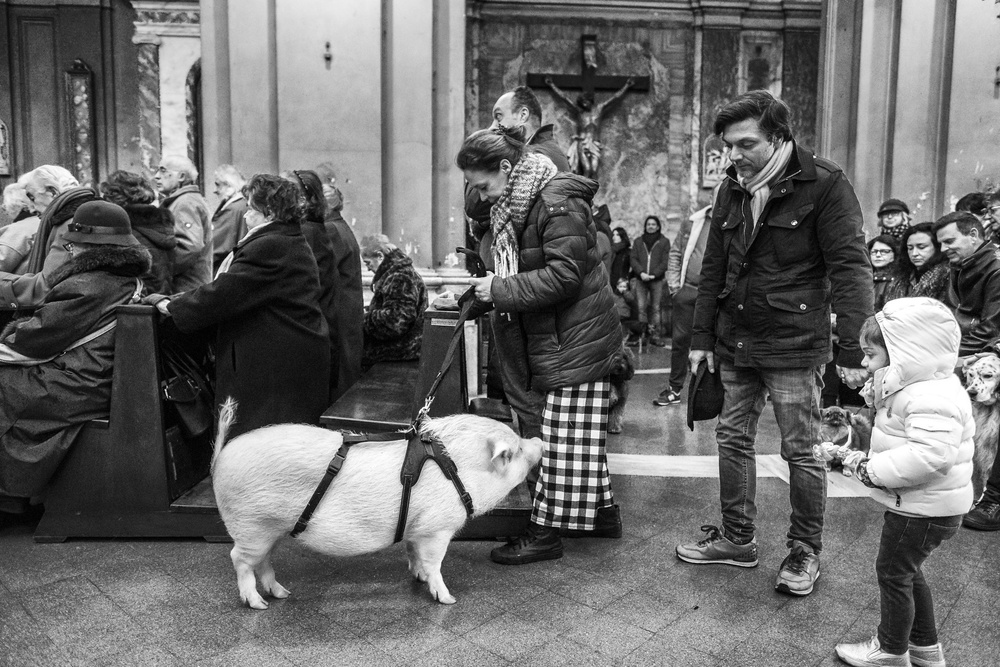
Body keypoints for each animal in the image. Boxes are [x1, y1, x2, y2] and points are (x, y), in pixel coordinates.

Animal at [207, 400, 544, 612]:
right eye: (514, 451)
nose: (540, 442)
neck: (457, 470)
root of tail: (220, 457)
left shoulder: (416, 528)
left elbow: (413, 553)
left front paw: (418, 577)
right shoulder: (437, 528)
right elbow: (434, 562)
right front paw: (448, 599)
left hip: (271, 531)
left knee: (262, 562)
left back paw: (280, 594)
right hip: (250, 526)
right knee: (239, 559)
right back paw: (258, 605)